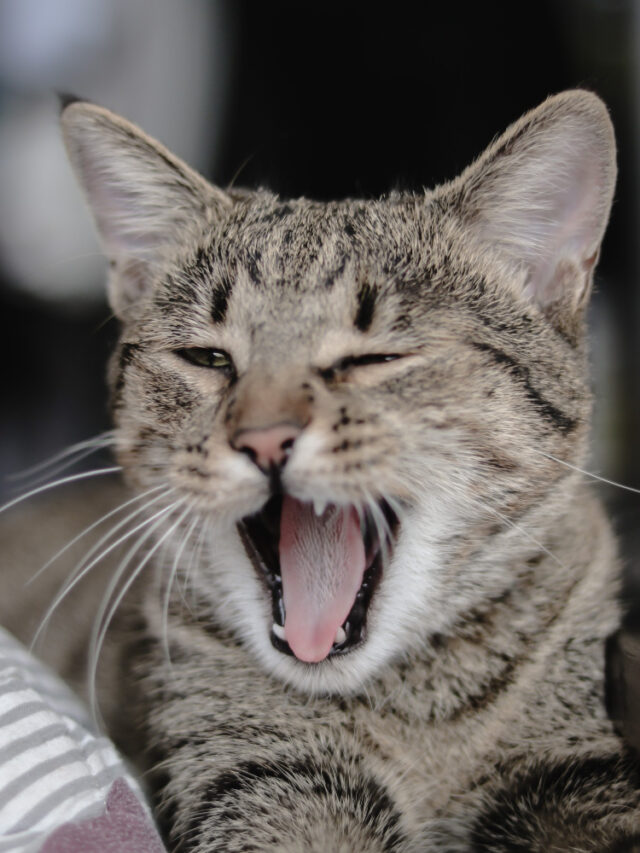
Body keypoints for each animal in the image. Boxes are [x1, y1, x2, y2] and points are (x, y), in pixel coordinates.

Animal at [5, 88, 640, 852]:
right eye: (208, 358)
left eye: (373, 359)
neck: (415, 710)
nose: (265, 439)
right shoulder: (262, 784)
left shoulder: (583, 770)